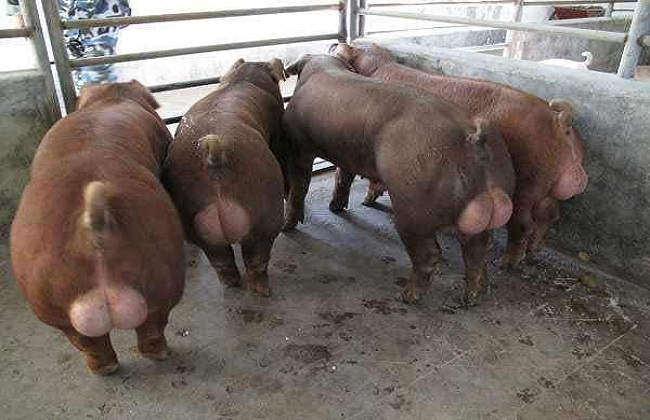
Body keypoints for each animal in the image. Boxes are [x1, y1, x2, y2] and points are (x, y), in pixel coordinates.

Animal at [10, 81, 185, 375]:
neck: (110, 98)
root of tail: (91, 232)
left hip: (51, 297)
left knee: (97, 339)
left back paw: (112, 367)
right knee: (139, 332)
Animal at [163, 59, 286, 297]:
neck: (243, 78)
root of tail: (215, 154)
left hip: (193, 220)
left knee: (221, 260)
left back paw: (231, 283)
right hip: (265, 209)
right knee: (257, 258)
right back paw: (264, 290)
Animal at [283, 53, 515, 304]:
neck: (322, 67)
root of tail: (473, 138)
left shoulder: (299, 146)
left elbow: (299, 187)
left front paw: (287, 227)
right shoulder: (347, 153)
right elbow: (343, 177)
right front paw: (335, 208)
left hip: (412, 204)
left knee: (429, 254)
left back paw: (408, 295)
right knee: (478, 248)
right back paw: (473, 296)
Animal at [334, 43, 588, 266]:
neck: (377, 64)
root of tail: (560, 121)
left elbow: (346, 174)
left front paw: (351, 204)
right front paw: (368, 200)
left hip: (528, 182)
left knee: (524, 224)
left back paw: (506, 263)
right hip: (550, 184)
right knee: (549, 215)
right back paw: (533, 251)